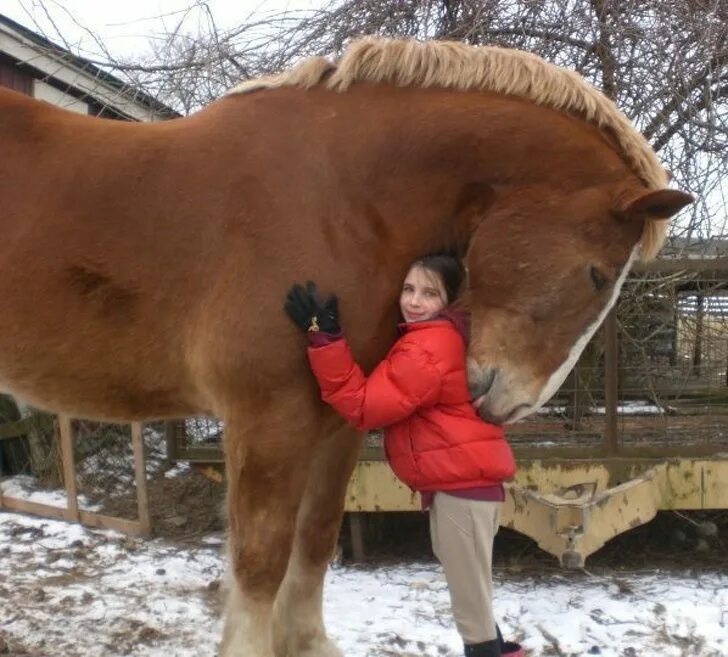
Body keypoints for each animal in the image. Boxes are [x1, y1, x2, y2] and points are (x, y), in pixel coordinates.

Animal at [0, 38, 692, 652]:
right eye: (597, 273)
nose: (511, 405)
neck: (337, 199)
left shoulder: (336, 422)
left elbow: (314, 543)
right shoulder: (269, 421)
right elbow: (260, 562)